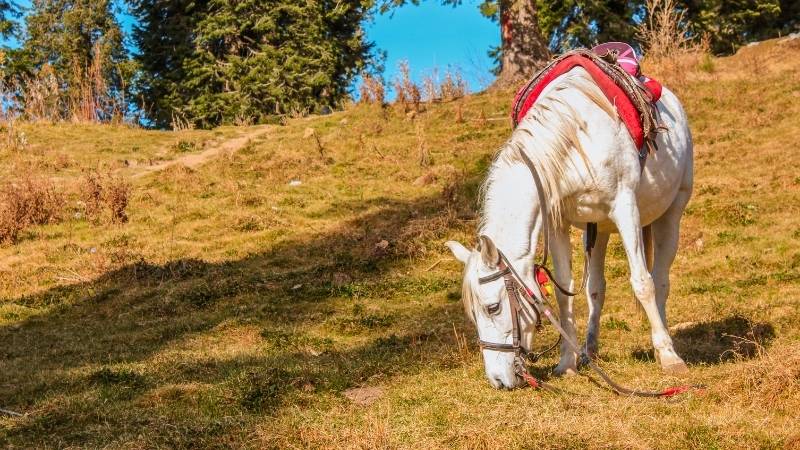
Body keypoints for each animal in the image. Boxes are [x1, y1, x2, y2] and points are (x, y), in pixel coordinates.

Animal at [446, 67, 692, 390]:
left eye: (493, 307)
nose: (498, 380)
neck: (574, 140)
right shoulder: (557, 221)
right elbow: (565, 292)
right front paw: (567, 363)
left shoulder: (625, 208)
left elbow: (642, 282)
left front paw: (668, 356)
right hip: (598, 228)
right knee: (596, 288)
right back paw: (589, 349)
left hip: (671, 212)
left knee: (660, 279)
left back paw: (665, 343)